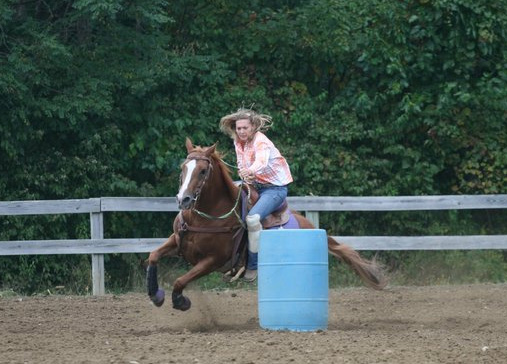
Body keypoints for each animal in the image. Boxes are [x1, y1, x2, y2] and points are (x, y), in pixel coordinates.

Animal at [146, 138, 384, 312]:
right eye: (183, 168)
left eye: (203, 171)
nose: (183, 199)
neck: (207, 217)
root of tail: (309, 225)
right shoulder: (177, 242)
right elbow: (153, 255)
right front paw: (155, 295)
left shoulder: (212, 261)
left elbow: (180, 280)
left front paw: (181, 301)